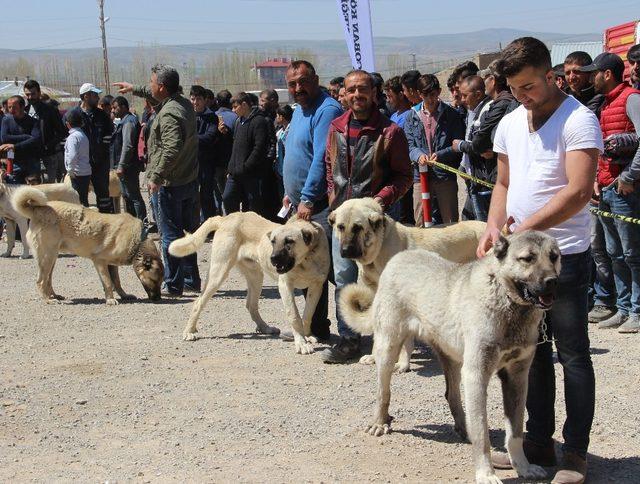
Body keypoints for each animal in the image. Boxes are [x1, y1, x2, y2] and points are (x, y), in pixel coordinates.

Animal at [169, 212, 330, 356]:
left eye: (289, 241)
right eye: (273, 241)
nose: (272, 258)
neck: (306, 260)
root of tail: (225, 218)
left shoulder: (317, 286)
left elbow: (308, 314)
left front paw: (307, 335)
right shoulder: (285, 285)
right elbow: (294, 316)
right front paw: (301, 343)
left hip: (256, 276)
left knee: (251, 305)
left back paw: (265, 328)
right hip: (219, 273)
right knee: (198, 302)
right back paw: (189, 332)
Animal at [330, 199, 484, 372]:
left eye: (358, 228)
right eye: (340, 227)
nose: (345, 251)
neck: (381, 243)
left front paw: (403, 364)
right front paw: (374, 356)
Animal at [340, 231, 560, 484]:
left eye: (554, 256)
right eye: (527, 259)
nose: (553, 281)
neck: (507, 301)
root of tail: (399, 257)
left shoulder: (517, 378)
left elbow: (514, 433)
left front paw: (523, 467)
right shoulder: (476, 375)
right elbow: (482, 434)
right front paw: (486, 474)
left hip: (452, 360)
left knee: (452, 395)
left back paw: (464, 429)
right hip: (388, 349)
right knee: (382, 393)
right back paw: (379, 422)